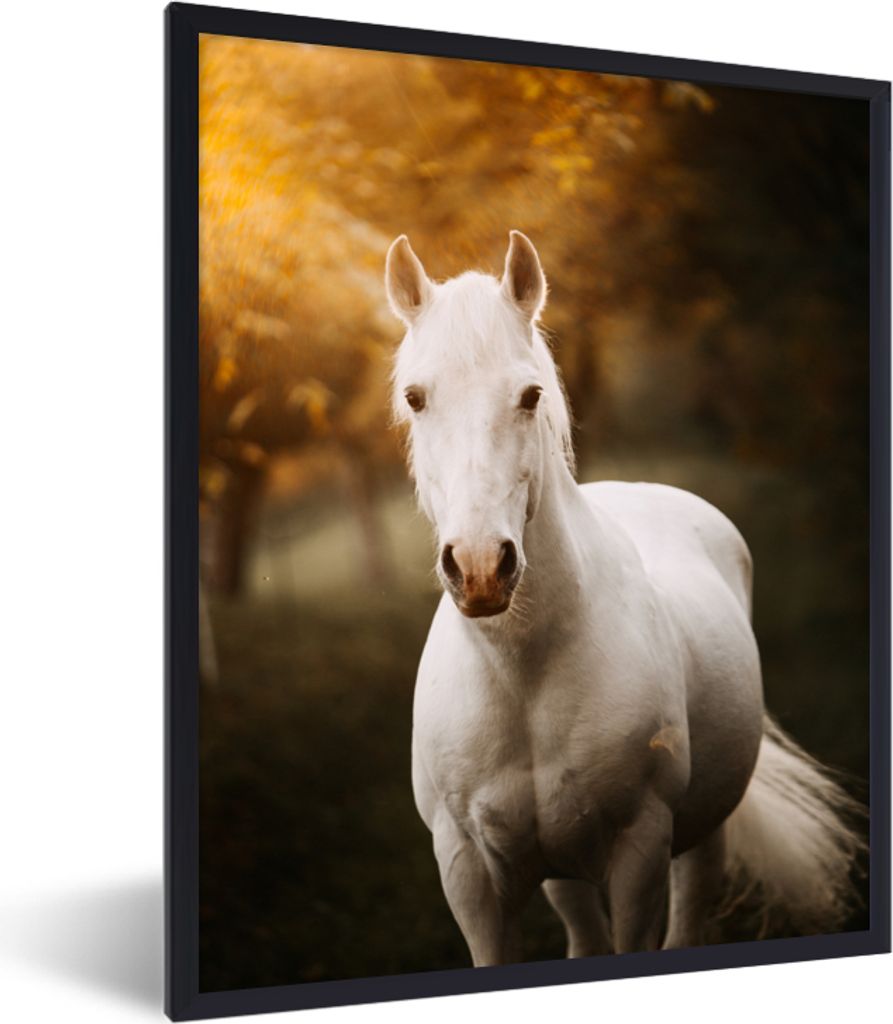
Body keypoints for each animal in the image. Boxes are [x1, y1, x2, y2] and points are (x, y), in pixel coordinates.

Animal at [384, 230, 865, 964]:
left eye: (530, 395)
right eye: (415, 397)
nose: (480, 567)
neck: (524, 674)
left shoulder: (639, 852)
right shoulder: (468, 873)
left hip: (702, 836)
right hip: (560, 871)